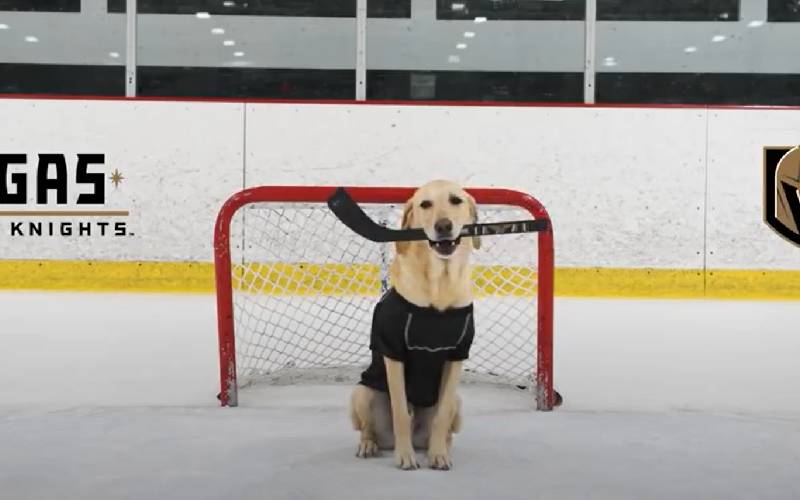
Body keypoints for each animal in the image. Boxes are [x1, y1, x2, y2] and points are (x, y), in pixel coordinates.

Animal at [346, 180, 478, 468]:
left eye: (455, 200)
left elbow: (441, 417)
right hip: (362, 392)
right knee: (369, 428)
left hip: (458, 401)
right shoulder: (394, 353)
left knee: (447, 427)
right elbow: (400, 413)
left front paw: (438, 454)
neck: (439, 285)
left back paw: (441, 447)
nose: (443, 226)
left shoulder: (457, 355)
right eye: (425, 204)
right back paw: (369, 444)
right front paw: (405, 456)